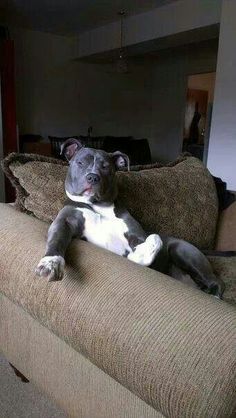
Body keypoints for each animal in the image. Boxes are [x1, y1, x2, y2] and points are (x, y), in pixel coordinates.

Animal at [35, 139, 225, 298]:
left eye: (106, 167)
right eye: (80, 162)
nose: (93, 177)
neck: (98, 207)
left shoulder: (137, 234)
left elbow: (153, 239)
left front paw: (139, 255)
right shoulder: (64, 222)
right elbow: (57, 240)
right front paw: (51, 262)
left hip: (183, 251)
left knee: (216, 281)